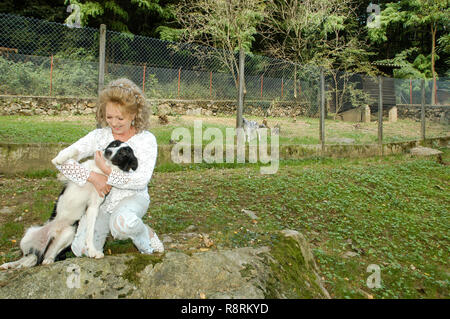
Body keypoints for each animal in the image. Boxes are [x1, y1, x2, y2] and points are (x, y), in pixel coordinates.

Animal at [0, 141, 138, 270]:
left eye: (123, 153)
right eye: (114, 144)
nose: (107, 151)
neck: (100, 170)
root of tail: (50, 236)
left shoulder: (93, 206)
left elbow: (90, 233)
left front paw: (93, 251)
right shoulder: (64, 177)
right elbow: (74, 153)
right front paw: (60, 159)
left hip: (69, 233)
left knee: (46, 255)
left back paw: (46, 260)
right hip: (28, 234)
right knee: (26, 257)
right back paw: (10, 264)